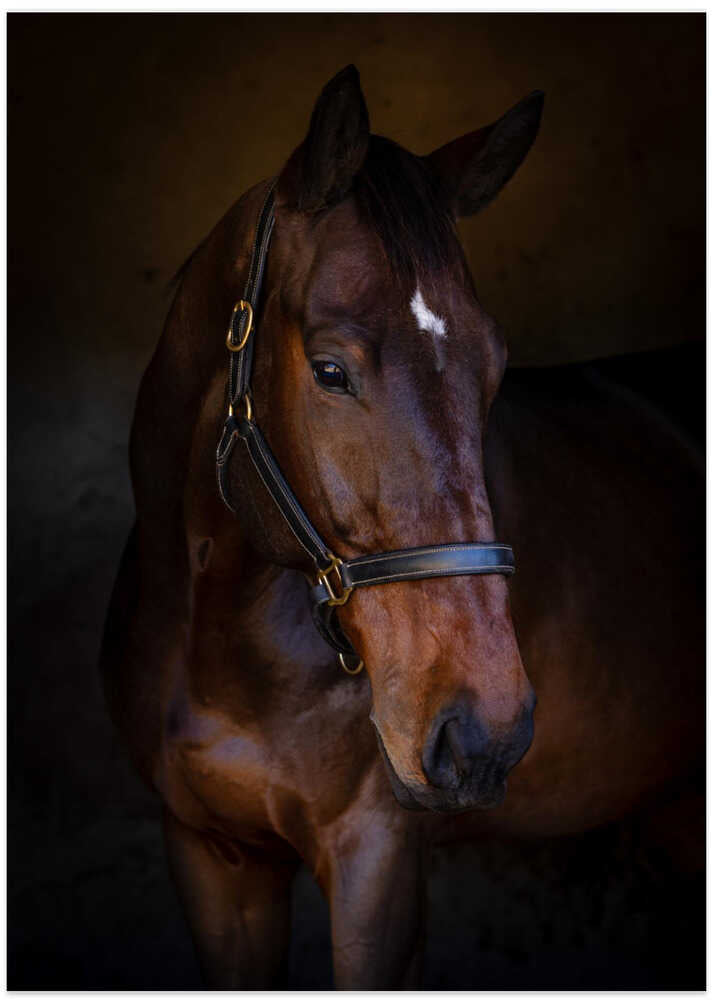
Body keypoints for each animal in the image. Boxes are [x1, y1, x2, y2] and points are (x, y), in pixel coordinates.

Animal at [100, 65, 704, 988]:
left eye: (494, 368)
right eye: (329, 370)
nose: (484, 734)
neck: (215, 635)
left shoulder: (376, 864)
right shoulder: (213, 860)